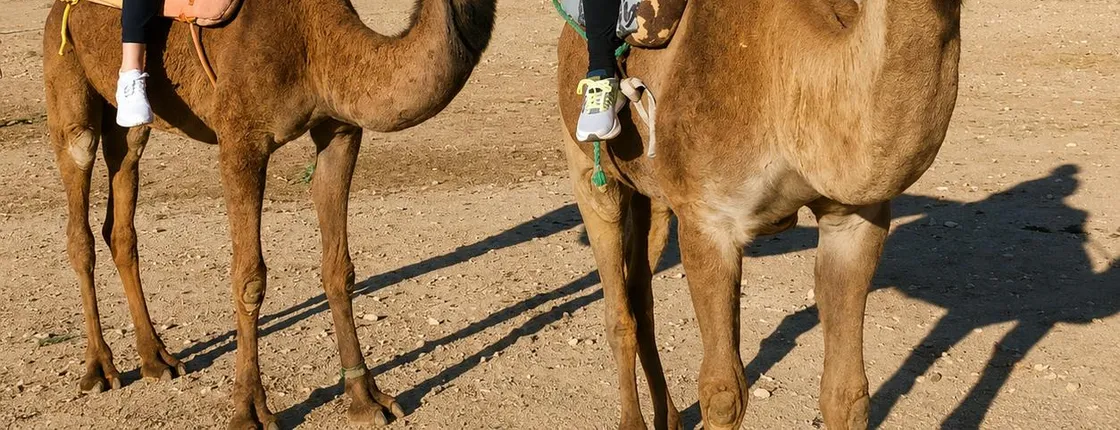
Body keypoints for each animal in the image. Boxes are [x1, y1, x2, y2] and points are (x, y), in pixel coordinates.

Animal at [42, 0, 494, 427]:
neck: (316, 42)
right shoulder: (240, 140)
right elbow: (249, 278)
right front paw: (250, 411)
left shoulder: (340, 130)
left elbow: (339, 269)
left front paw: (366, 399)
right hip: (66, 81)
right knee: (79, 214)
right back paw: (100, 369)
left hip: (128, 123)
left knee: (121, 218)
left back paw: (156, 359)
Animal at [556, 0, 960, 429]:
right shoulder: (709, 220)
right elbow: (723, 393)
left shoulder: (853, 221)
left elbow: (848, 396)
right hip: (589, 173)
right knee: (619, 310)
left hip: (654, 196)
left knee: (640, 294)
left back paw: (669, 417)